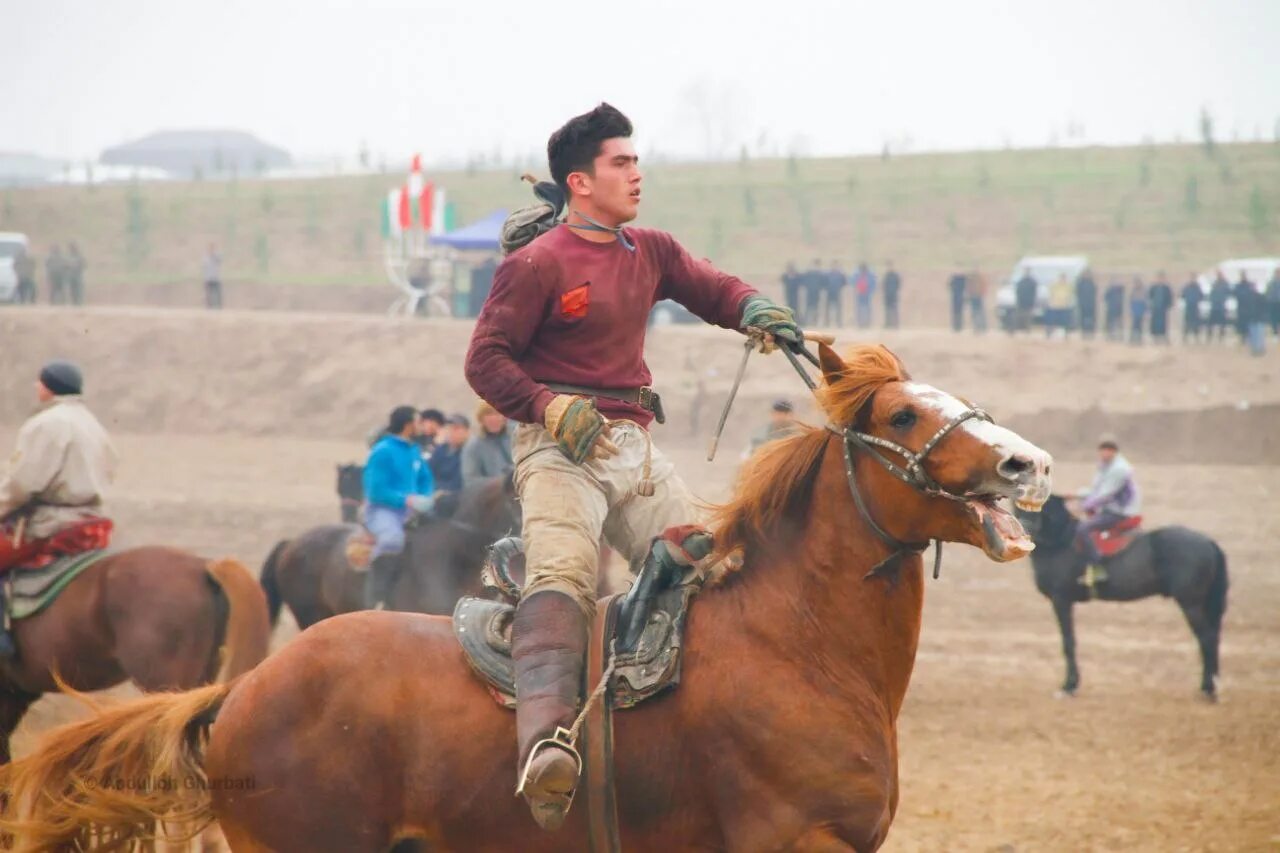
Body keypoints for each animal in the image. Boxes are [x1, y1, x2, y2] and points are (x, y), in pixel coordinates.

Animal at [1018, 491, 1228, 696]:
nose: (1025, 531)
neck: (1060, 540)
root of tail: (1208, 541)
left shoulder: (1061, 600)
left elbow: (1068, 642)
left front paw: (1069, 686)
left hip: (1190, 603)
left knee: (1207, 639)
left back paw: (1208, 689)